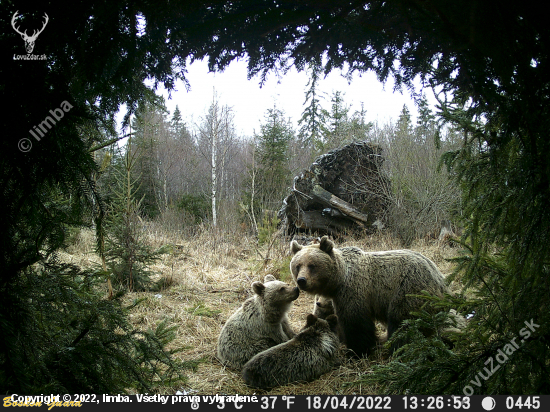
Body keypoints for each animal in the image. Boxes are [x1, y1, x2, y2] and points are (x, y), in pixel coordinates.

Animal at [292, 237, 450, 356]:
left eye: (312, 265)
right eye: (298, 265)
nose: (301, 281)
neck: (340, 279)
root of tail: (439, 279)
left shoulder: (354, 291)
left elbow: (356, 323)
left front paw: (356, 350)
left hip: (409, 289)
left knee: (403, 323)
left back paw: (398, 348)